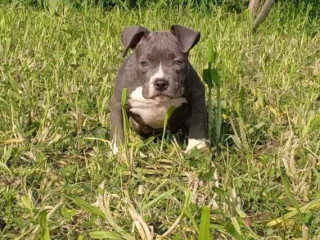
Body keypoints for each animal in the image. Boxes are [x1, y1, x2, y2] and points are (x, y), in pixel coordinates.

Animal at [111, 23, 208, 152]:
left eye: (178, 62)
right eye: (144, 63)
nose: (161, 83)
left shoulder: (197, 94)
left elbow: (198, 122)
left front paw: (196, 147)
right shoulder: (118, 103)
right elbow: (118, 128)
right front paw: (118, 151)